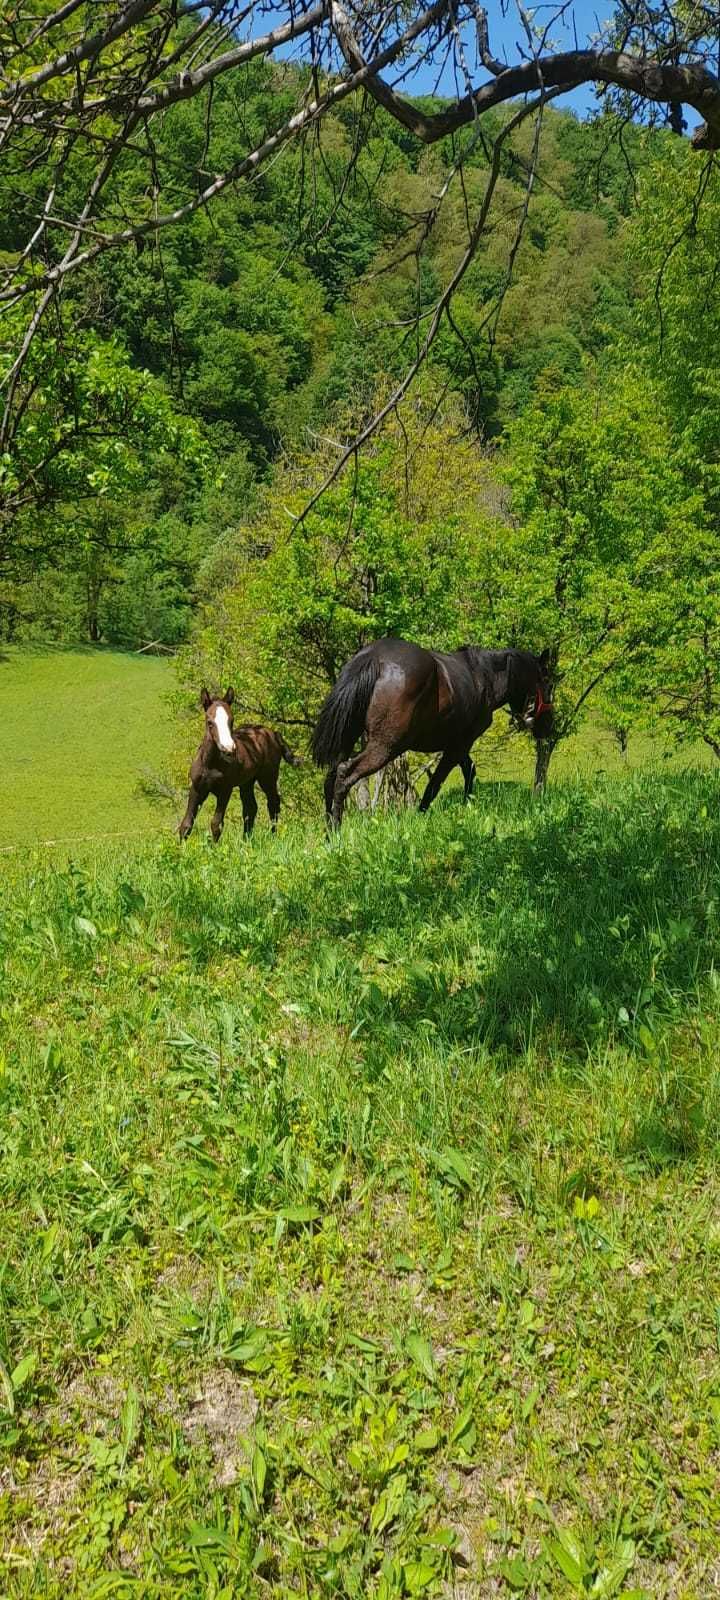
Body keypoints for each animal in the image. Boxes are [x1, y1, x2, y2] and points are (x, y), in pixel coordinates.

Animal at [178, 684, 299, 844]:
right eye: (210, 722)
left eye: (231, 721)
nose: (229, 748)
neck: (211, 764)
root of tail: (273, 733)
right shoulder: (197, 788)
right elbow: (186, 824)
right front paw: (180, 849)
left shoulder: (225, 790)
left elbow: (216, 824)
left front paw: (213, 849)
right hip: (247, 782)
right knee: (251, 808)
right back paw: (246, 841)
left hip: (268, 777)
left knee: (273, 803)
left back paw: (272, 837)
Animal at [312, 636, 553, 825]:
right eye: (548, 683)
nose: (548, 726)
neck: (483, 676)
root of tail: (374, 657)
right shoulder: (460, 745)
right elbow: (436, 783)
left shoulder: (457, 744)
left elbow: (469, 772)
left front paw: (467, 807)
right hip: (385, 747)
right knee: (345, 774)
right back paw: (337, 832)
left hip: (348, 739)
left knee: (330, 779)